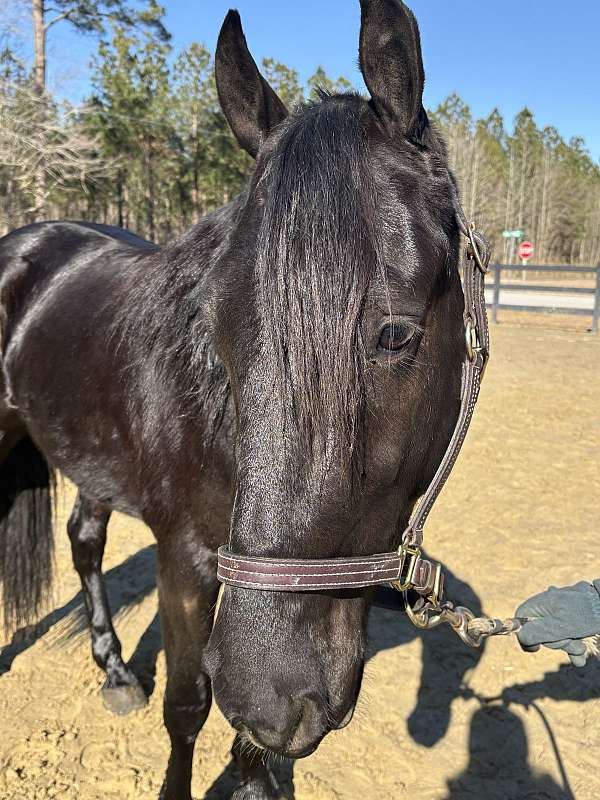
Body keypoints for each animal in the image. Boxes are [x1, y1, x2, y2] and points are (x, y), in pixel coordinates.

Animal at [1, 1, 468, 800]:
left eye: (396, 333)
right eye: (215, 322)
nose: (272, 690)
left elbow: (244, 742)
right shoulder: (186, 558)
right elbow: (189, 705)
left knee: (85, 542)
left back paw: (116, 671)